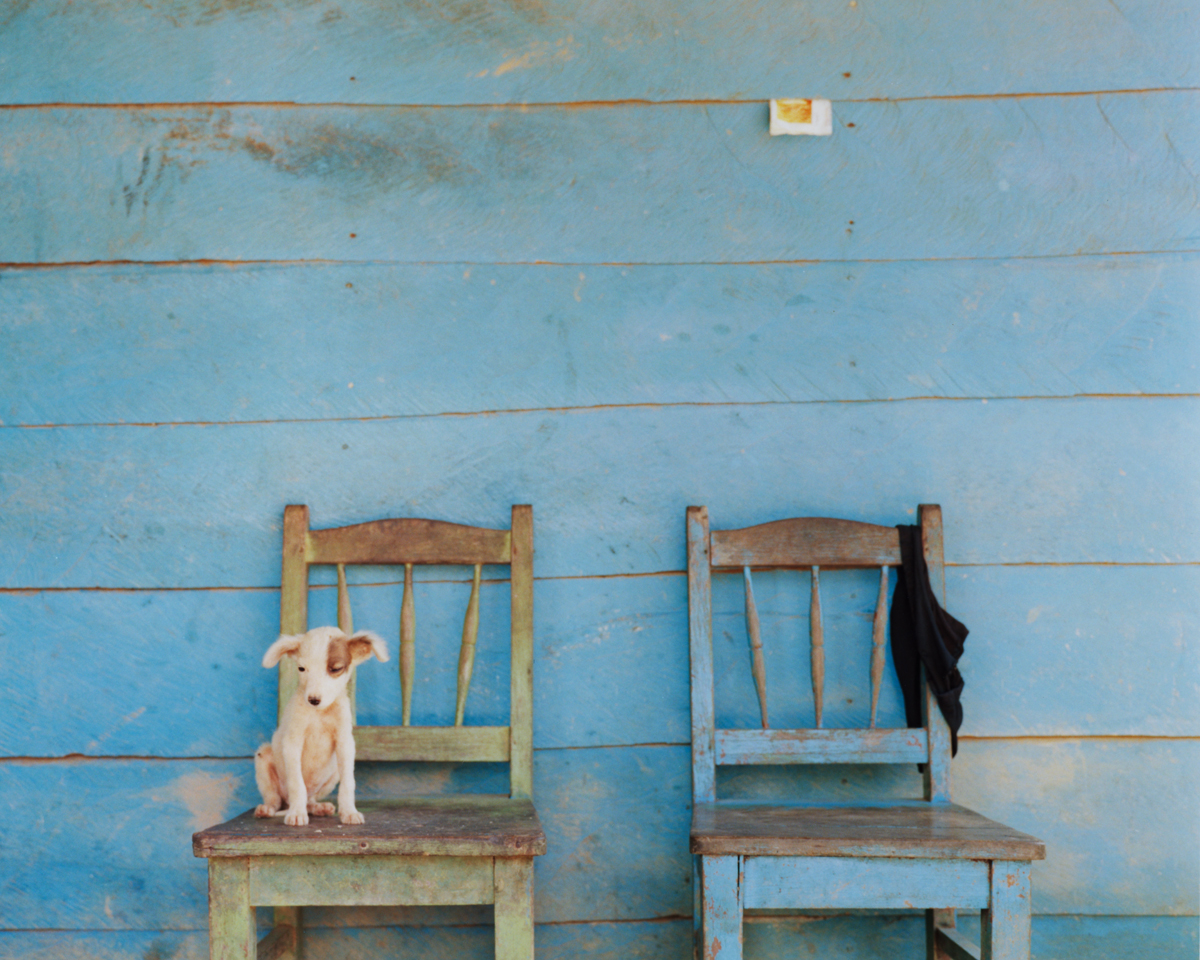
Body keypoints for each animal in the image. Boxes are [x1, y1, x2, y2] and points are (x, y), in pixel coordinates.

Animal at [256, 628, 388, 825]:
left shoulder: (345, 743)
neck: (320, 713)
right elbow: (297, 784)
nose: (313, 700)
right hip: (263, 757)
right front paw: (296, 813)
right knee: (275, 799)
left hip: (333, 773)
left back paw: (318, 807)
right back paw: (268, 809)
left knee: (310, 800)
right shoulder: (292, 743)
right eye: (301, 668)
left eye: (335, 669)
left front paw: (349, 812)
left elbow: (348, 784)